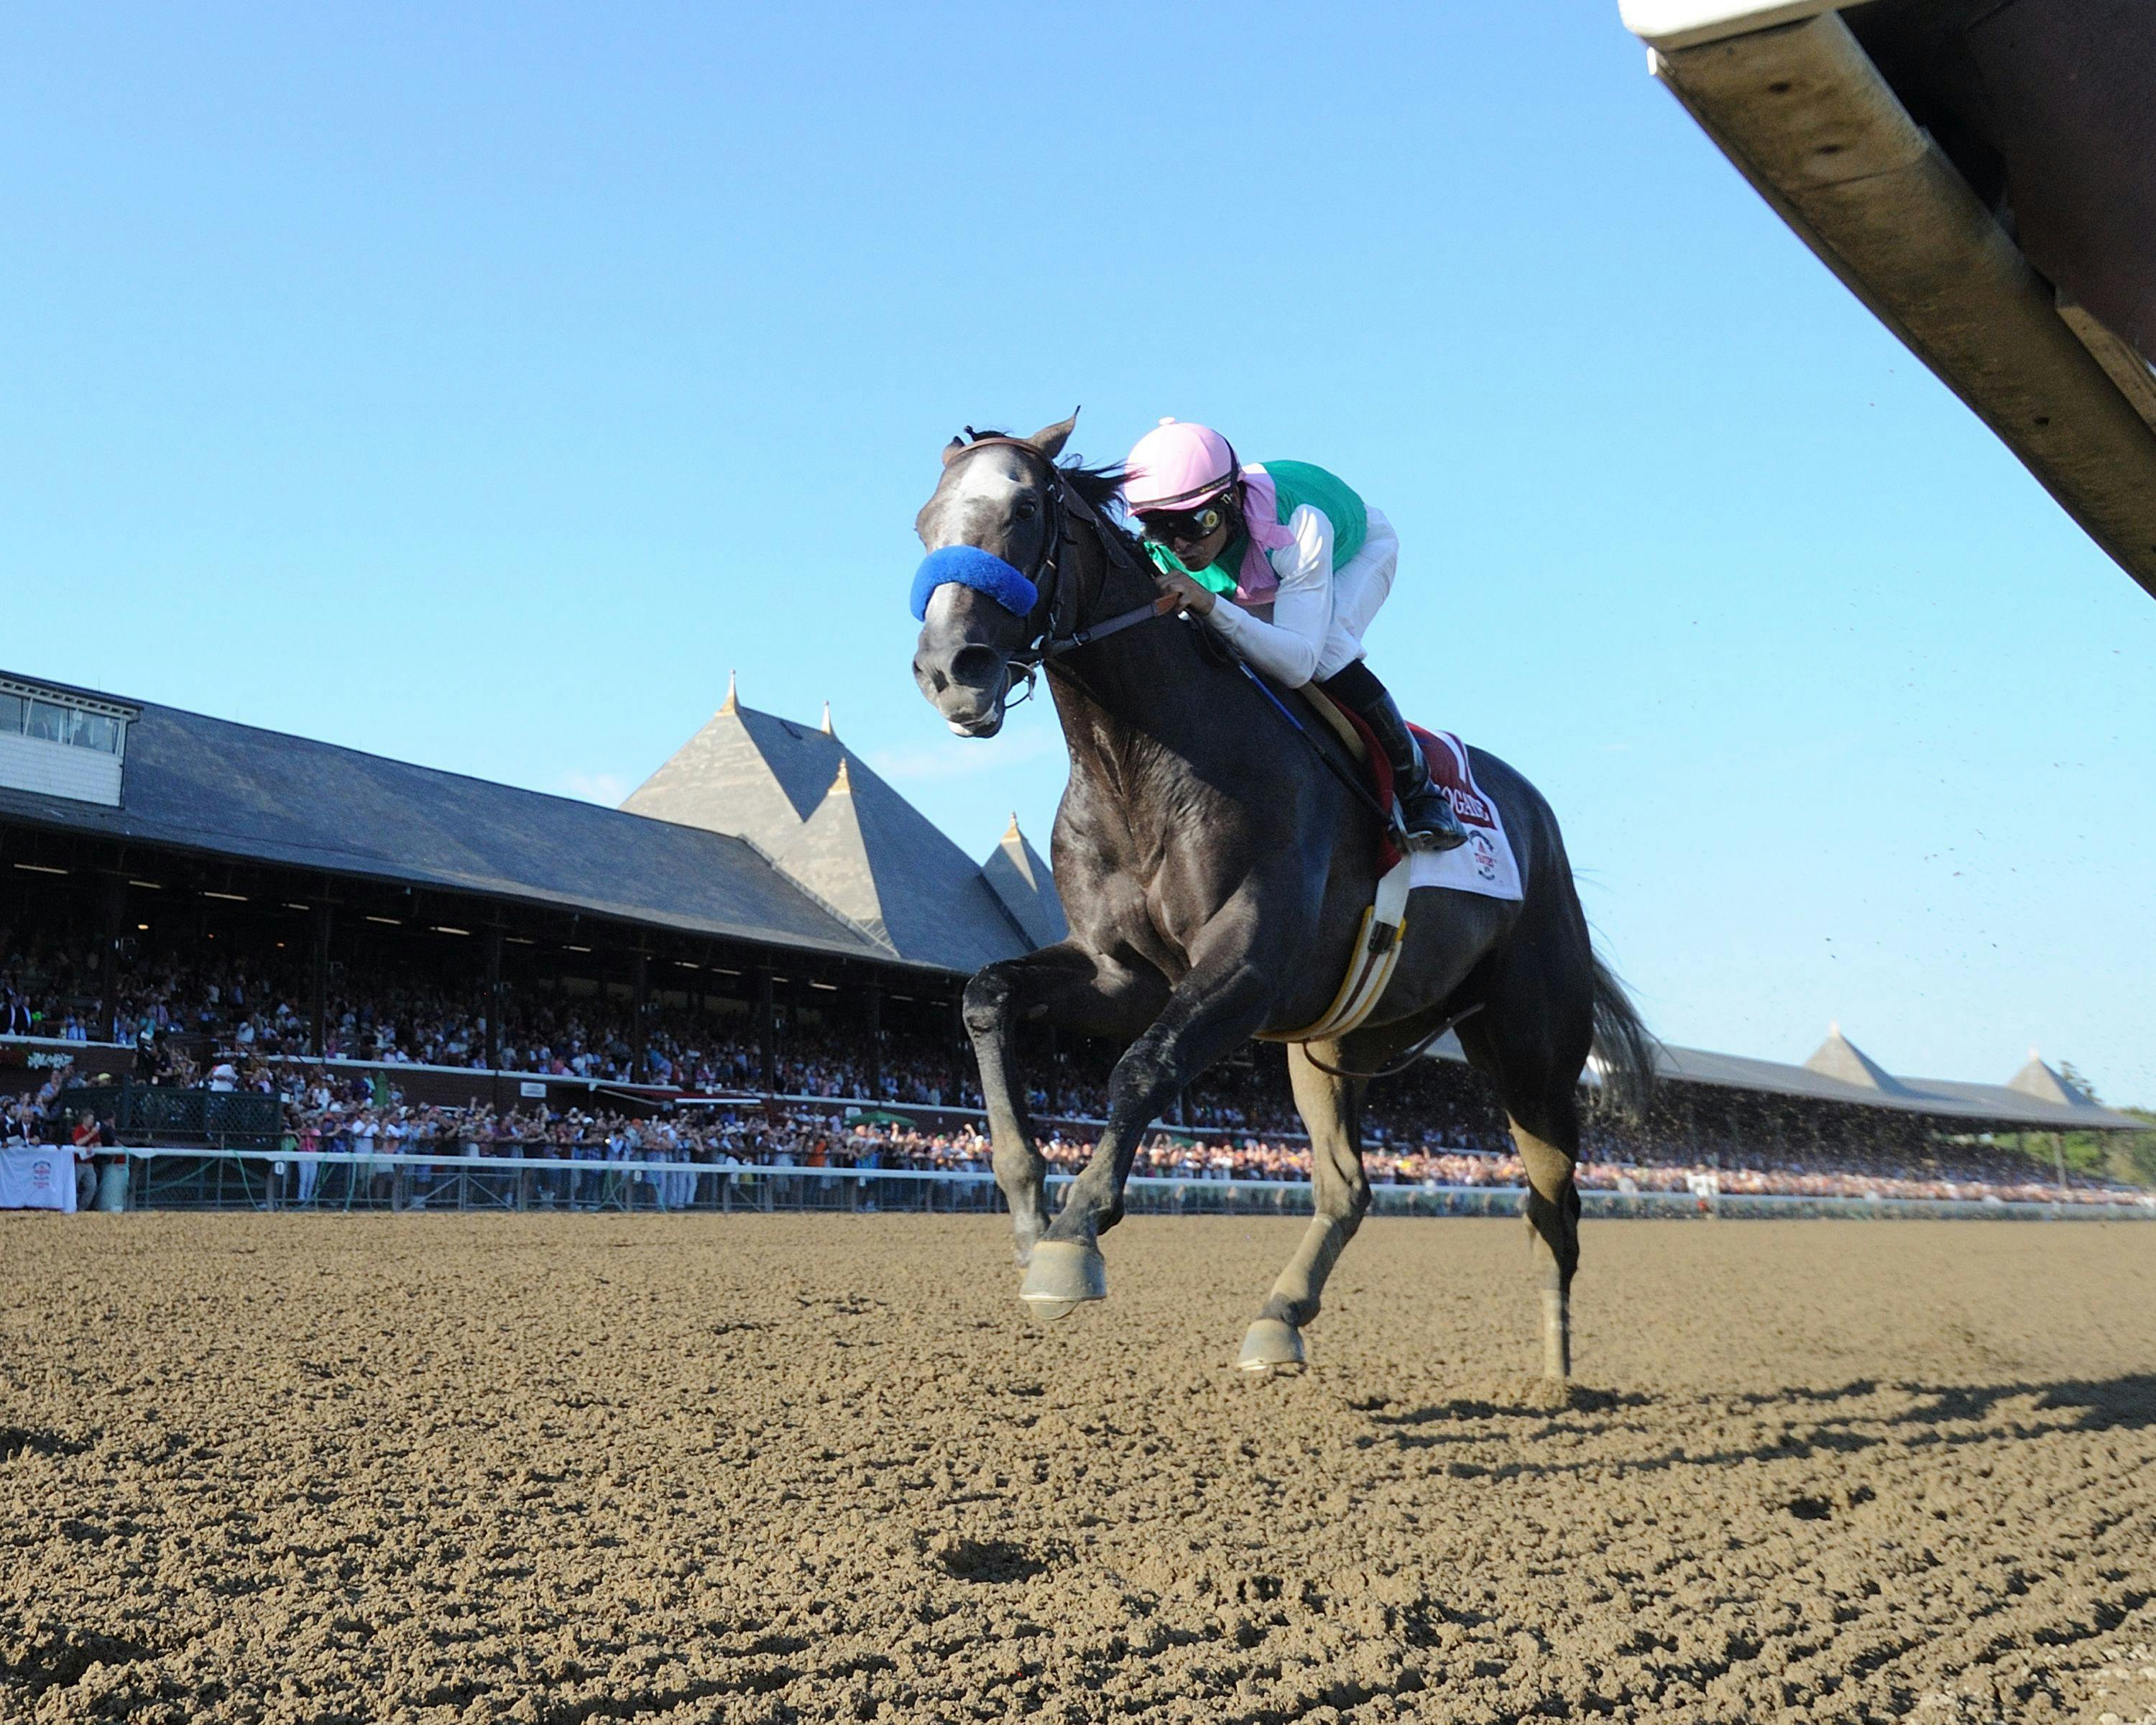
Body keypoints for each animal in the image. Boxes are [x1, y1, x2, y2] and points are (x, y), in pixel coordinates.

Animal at [910, 414, 1647, 1371]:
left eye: (1027, 507)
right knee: (1350, 1190)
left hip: (1533, 1053)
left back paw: (1556, 1369)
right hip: (1334, 1042)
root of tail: (1538, 819)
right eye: (924, 523)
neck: (1140, 763)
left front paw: (1074, 1239)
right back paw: (1279, 1317)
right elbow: (988, 996)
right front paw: (1033, 1213)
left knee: (1554, 1204)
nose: (949, 669)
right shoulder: (1121, 974)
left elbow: (1142, 1065)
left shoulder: (1247, 966)